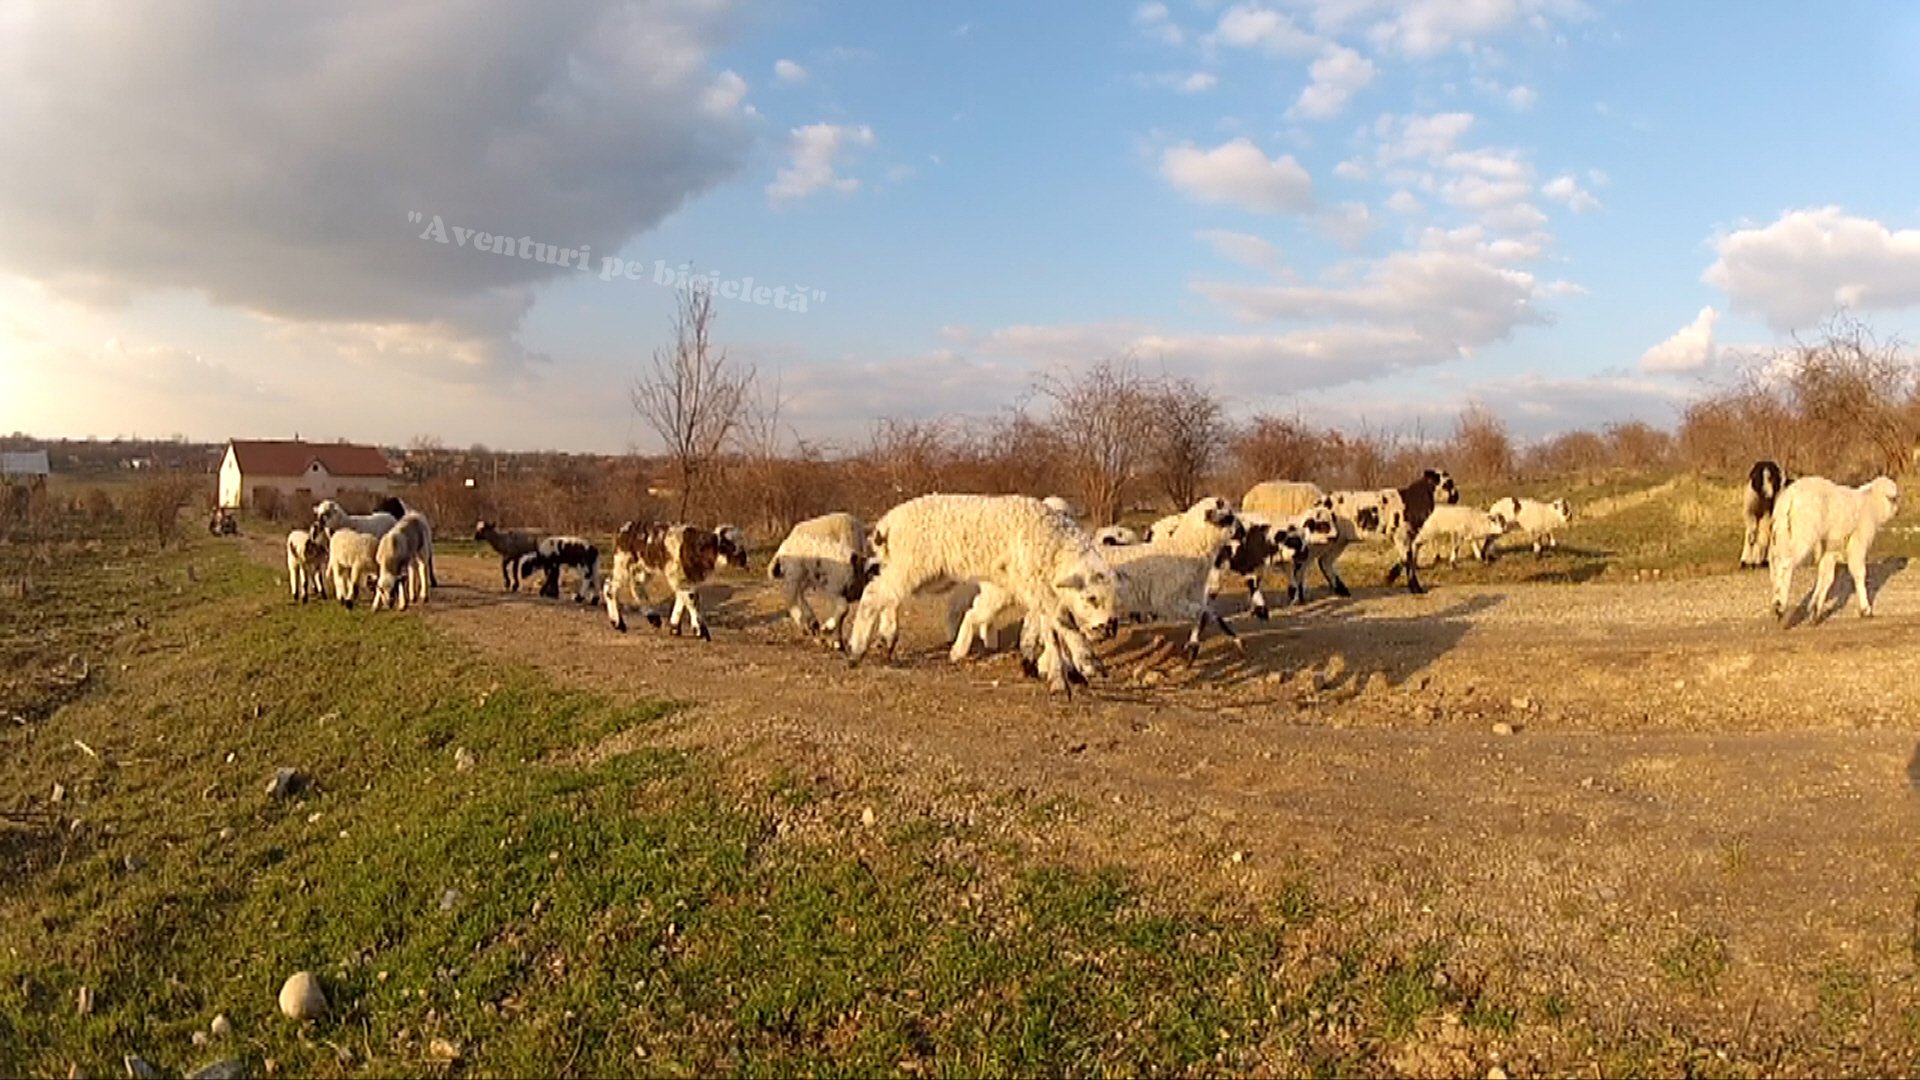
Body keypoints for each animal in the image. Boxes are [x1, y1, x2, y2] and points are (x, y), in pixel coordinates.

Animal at [602, 518, 744, 634]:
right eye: (728, 545)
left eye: (742, 545)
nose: (743, 560)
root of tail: (624, 528)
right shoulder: (677, 576)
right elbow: (692, 599)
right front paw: (701, 630)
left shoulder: (687, 579)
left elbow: (682, 597)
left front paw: (675, 627)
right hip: (623, 564)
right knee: (610, 587)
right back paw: (618, 623)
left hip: (642, 567)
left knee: (636, 586)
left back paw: (653, 617)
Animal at [768, 507, 879, 641]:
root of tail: (784, 544)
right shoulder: (833, 588)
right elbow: (842, 607)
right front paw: (828, 630)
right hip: (794, 574)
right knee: (791, 597)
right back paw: (808, 624)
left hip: (804, 576)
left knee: (799, 595)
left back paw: (811, 623)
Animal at [844, 495, 1121, 691]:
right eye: (1092, 598)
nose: (1109, 629)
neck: (1055, 546)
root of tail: (886, 523)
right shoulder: (1038, 587)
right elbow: (1062, 622)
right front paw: (1086, 664)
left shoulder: (1038, 590)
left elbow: (1050, 628)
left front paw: (1064, 670)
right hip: (911, 563)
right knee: (873, 593)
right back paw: (857, 650)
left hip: (914, 569)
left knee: (888, 595)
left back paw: (889, 637)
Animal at [1758, 472, 1896, 622]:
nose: (1896, 510)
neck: (1871, 503)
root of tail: (1790, 496)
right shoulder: (1857, 543)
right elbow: (1858, 573)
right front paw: (1865, 609)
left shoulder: (1830, 550)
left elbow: (1826, 578)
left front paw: (1815, 609)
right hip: (1803, 533)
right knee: (1786, 564)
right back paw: (1780, 605)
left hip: (1782, 532)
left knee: (1776, 565)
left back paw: (1776, 599)